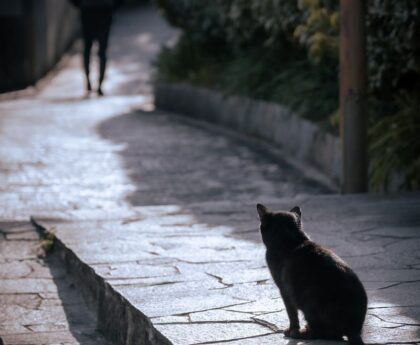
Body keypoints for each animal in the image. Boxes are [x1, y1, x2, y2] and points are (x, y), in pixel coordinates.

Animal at [256, 203, 368, 342]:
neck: (291, 240)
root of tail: (354, 330)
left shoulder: (284, 290)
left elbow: (291, 313)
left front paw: (291, 330)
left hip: (309, 297)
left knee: (326, 333)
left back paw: (302, 333)